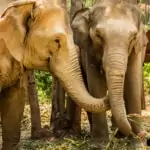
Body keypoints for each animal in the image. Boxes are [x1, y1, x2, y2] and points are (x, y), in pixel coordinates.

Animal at [71, 0, 148, 148]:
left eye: (133, 37)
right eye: (98, 35)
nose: (143, 134)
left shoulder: (137, 50)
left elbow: (132, 85)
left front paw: (138, 145)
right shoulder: (89, 51)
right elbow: (96, 86)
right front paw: (99, 145)